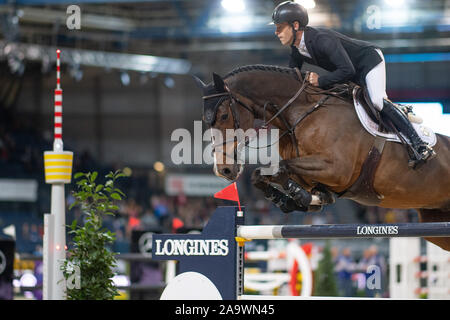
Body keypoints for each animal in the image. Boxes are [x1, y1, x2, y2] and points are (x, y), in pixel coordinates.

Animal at [195, 63, 450, 251]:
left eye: (224, 115)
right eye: (207, 122)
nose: (224, 170)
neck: (299, 113)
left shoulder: (337, 170)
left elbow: (280, 168)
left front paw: (299, 197)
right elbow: (262, 174)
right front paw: (297, 199)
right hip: (435, 223)